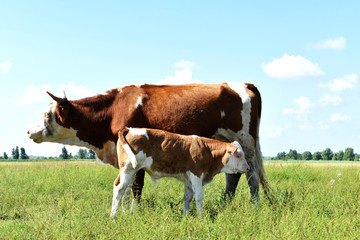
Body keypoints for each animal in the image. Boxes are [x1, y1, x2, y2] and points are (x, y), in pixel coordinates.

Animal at [26, 82, 272, 204]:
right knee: (234, 176)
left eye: (47, 114)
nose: (28, 130)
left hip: (247, 142)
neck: (114, 108)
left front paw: (134, 212)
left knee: (252, 175)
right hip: (227, 142)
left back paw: (255, 206)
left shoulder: (137, 155)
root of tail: (243, 84)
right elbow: (126, 188)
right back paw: (224, 205)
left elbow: (136, 187)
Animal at [110, 127, 250, 218]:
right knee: (119, 188)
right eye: (238, 155)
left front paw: (185, 215)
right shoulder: (196, 174)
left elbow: (188, 197)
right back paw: (113, 216)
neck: (207, 150)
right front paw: (201, 217)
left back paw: (125, 214)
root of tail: (129, 129)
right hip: (127, 168)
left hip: (132, 171)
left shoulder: (188, 179)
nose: (248, 168)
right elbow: (199, 196)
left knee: (126, 191)